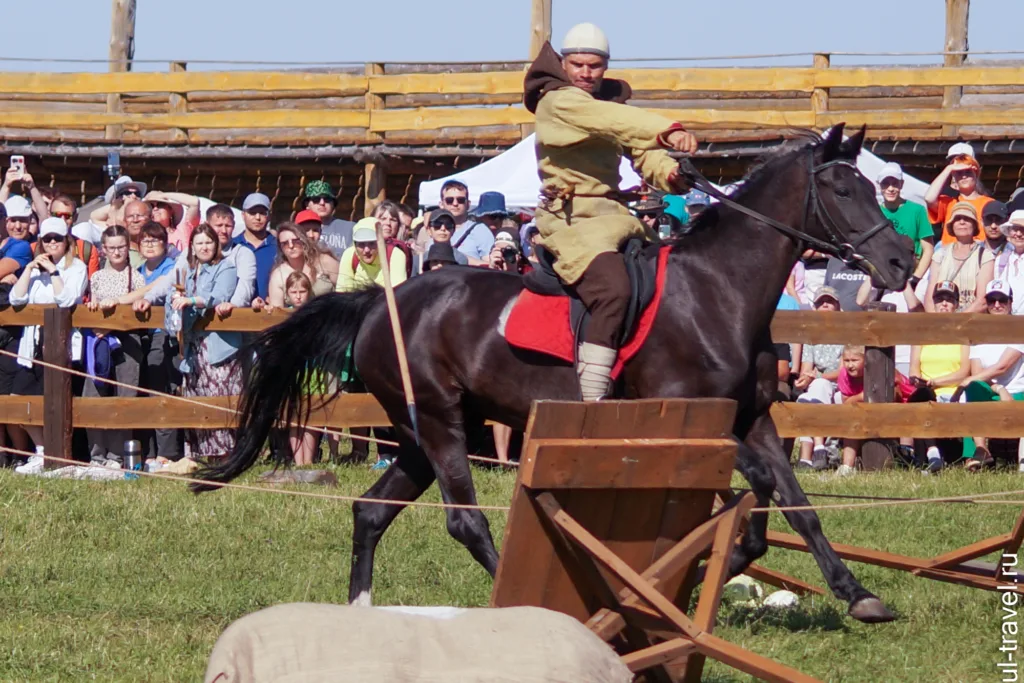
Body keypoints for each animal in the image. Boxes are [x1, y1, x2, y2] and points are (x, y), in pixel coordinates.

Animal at [197, 122, 913, 626]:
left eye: (876, 189)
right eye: (842, 190)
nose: (902, 262)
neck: (719, 290)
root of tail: (380, 302)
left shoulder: (754, 418)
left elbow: (795, 504)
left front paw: (853, 591)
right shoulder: (696, 419)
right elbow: (763, 488)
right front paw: (708, 563)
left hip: (426, 431)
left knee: (371, 510)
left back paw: (359, 609)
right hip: (440, 423)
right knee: (465, 523)